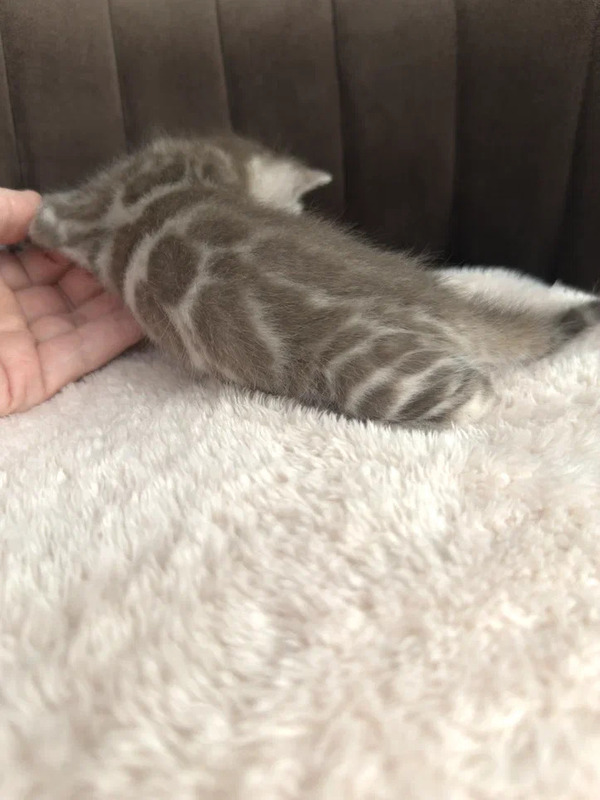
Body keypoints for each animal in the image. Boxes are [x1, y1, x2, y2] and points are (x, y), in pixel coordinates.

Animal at [27, 132, 600, 427]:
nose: (299, 209)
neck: (176, 176)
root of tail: (438, 299)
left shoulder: (75, 212)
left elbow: (42, 217)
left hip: (382, 378)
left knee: (475, 395)